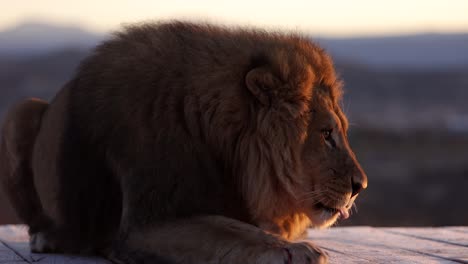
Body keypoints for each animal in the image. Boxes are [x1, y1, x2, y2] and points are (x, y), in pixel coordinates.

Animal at [0, 21, 366, 262]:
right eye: (326, 134)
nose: (359, 186)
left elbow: (235, 226)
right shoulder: (143, 223)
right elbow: (228, 230)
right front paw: (296, 251)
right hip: (21, 112)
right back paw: (48, 238)